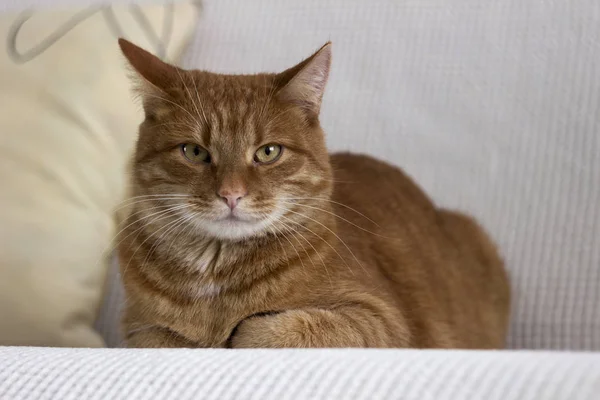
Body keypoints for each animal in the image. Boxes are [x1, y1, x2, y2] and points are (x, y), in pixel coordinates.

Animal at [118, 39, 510, 348]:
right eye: (194, 152)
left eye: (268, 152)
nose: (231, 194)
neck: (215, 278)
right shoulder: (137, 329)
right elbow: (163, 336)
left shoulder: (380, 319)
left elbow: (266, 329)